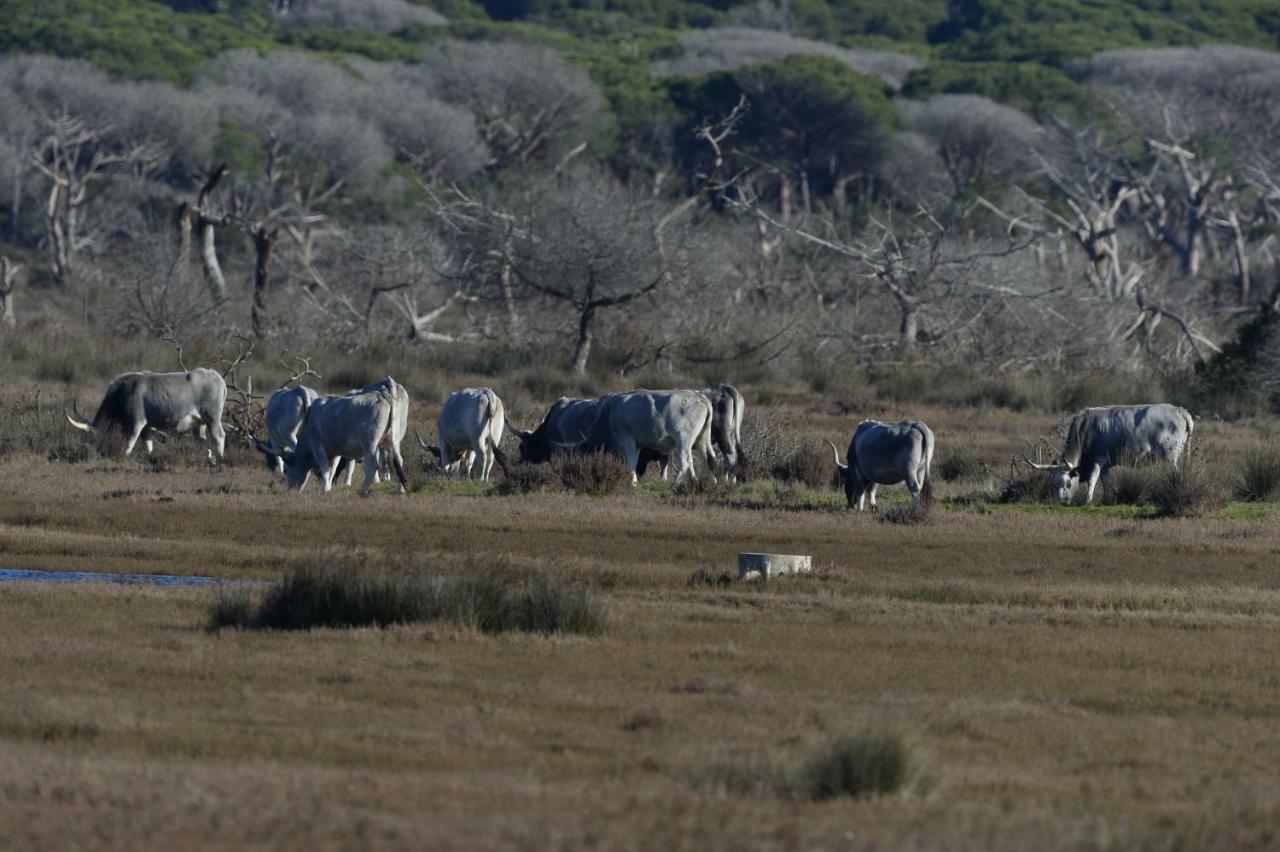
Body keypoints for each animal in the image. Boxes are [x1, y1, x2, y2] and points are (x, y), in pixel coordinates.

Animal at [67, 365, 229, 457]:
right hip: (198, 423)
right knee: (200, 441)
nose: (91, 450)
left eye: (92, 436)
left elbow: (130, 442)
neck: (121, 392)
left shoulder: (137, 422)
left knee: (219, 436)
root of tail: (217, 376)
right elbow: (148, 443)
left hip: (212, 418)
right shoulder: (147, 426)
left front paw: (125, 456)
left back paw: (220, 457)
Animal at [252, 376, 407, 493]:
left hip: (370, 445)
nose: (291, 489)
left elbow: (325, 467)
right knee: (398, 460)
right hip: (393, 440)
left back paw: (364, 489)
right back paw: (401, 489)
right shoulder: (336, 451)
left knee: (373, 465)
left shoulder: (318, 446)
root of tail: (384, 394)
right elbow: (332, 469)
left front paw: (325, 488)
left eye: (287, 470)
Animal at [1024, 401, 1192, 501]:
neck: (1084, 430)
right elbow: (1107, 482)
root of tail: (1180, 411)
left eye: (1068, 484)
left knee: (1175, 473)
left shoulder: (1098, 460)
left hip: (1170, 456)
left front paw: (1088, 500)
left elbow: (1093, 480)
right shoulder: (1105, 465)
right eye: (1054, 485)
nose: (1064, 503)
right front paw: (1107, 500)